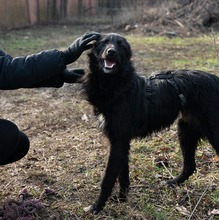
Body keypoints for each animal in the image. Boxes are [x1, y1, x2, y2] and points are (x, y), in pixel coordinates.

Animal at [82, 32, 219, 213]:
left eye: (120, 45)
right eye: (104, 42)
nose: (111, 52)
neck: (117, 83)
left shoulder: (118, 141)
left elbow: (108, 178)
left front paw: (97, 207)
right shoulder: (121, 141)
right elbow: (123, 174)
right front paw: (122, 199)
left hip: (213, 133)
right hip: (185, 130)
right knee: (190, 166)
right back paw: (173, 182)